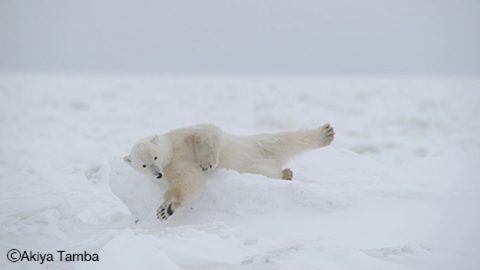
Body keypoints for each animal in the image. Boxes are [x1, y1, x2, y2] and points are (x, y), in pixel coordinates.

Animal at [123, 123, 334, 220]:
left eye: (155, 157)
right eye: (143, 165)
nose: (157, 174)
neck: (171, 153)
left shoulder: (181, 137)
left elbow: (206, 132)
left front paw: (206, 162)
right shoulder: (173, 169)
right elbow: (189, 181)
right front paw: (165, 209)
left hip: (258, 143)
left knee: (284, 139)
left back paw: (325, 133)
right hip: (255, 163)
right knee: (263, 169)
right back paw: (286, 174)